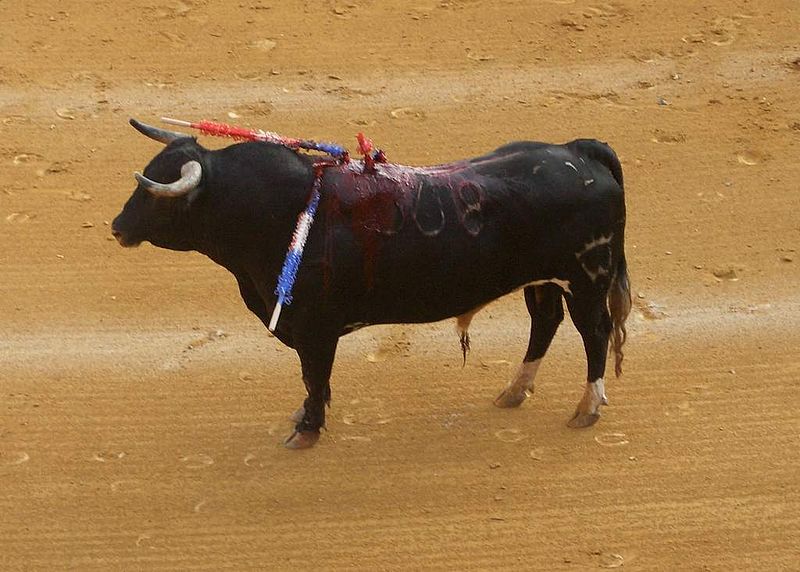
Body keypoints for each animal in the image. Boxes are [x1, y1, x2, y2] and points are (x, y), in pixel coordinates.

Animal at [111, 119, 632, 446]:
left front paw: (307, 429)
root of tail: (579, 151)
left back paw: (587, 409)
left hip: (587, 276)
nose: (117, 227)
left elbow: (314, 374)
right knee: (545, 322)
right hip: (542, 279)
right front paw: (306, 416)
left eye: (154, 196)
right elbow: (312, 379)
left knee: (594, 332)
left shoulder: (314, 327)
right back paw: (513, 393)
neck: (272, 209)